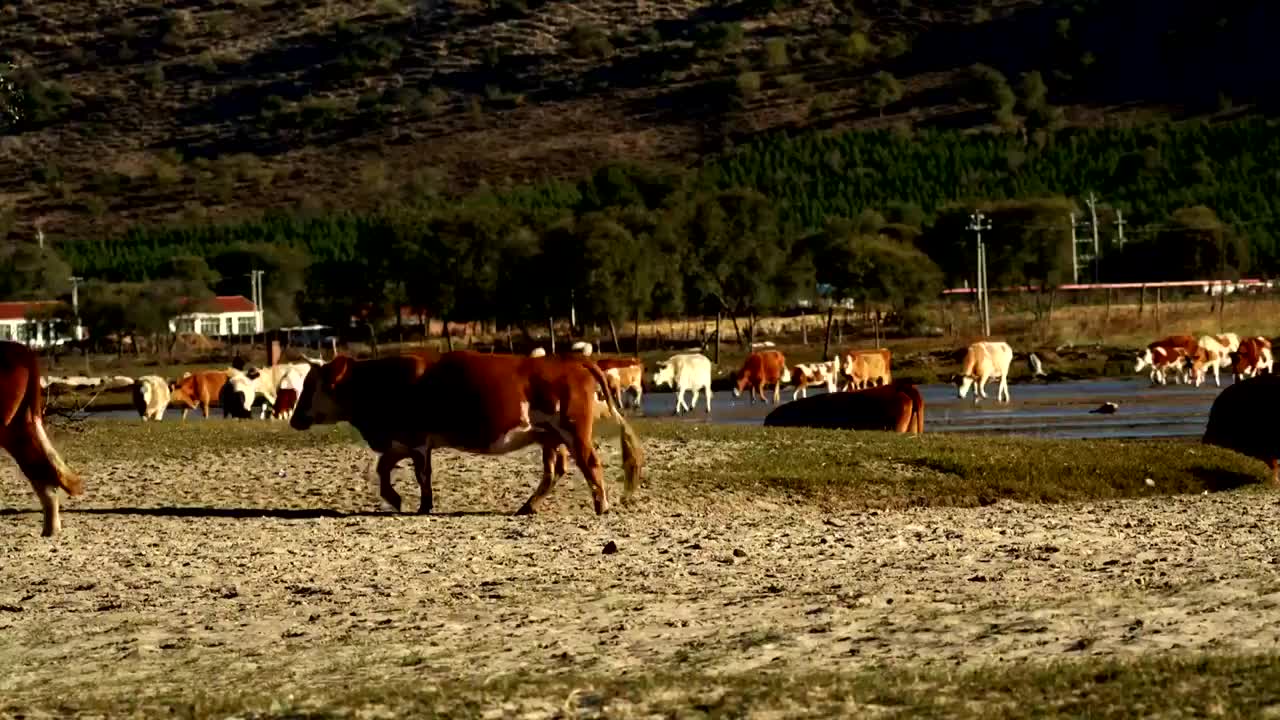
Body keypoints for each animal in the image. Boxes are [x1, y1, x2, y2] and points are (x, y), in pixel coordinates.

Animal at [288, 348, 637, 512]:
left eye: (310, 385)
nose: (294, 419)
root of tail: (570, 361)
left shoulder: (418, 441)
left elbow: (421, 475)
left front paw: (423, 506)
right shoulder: (402, 441)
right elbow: (383, 468)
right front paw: (395, 499)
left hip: (573, 431)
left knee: (590, 463)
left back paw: (601, 505)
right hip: (549, 437)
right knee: (554, 472)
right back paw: (528, 506)